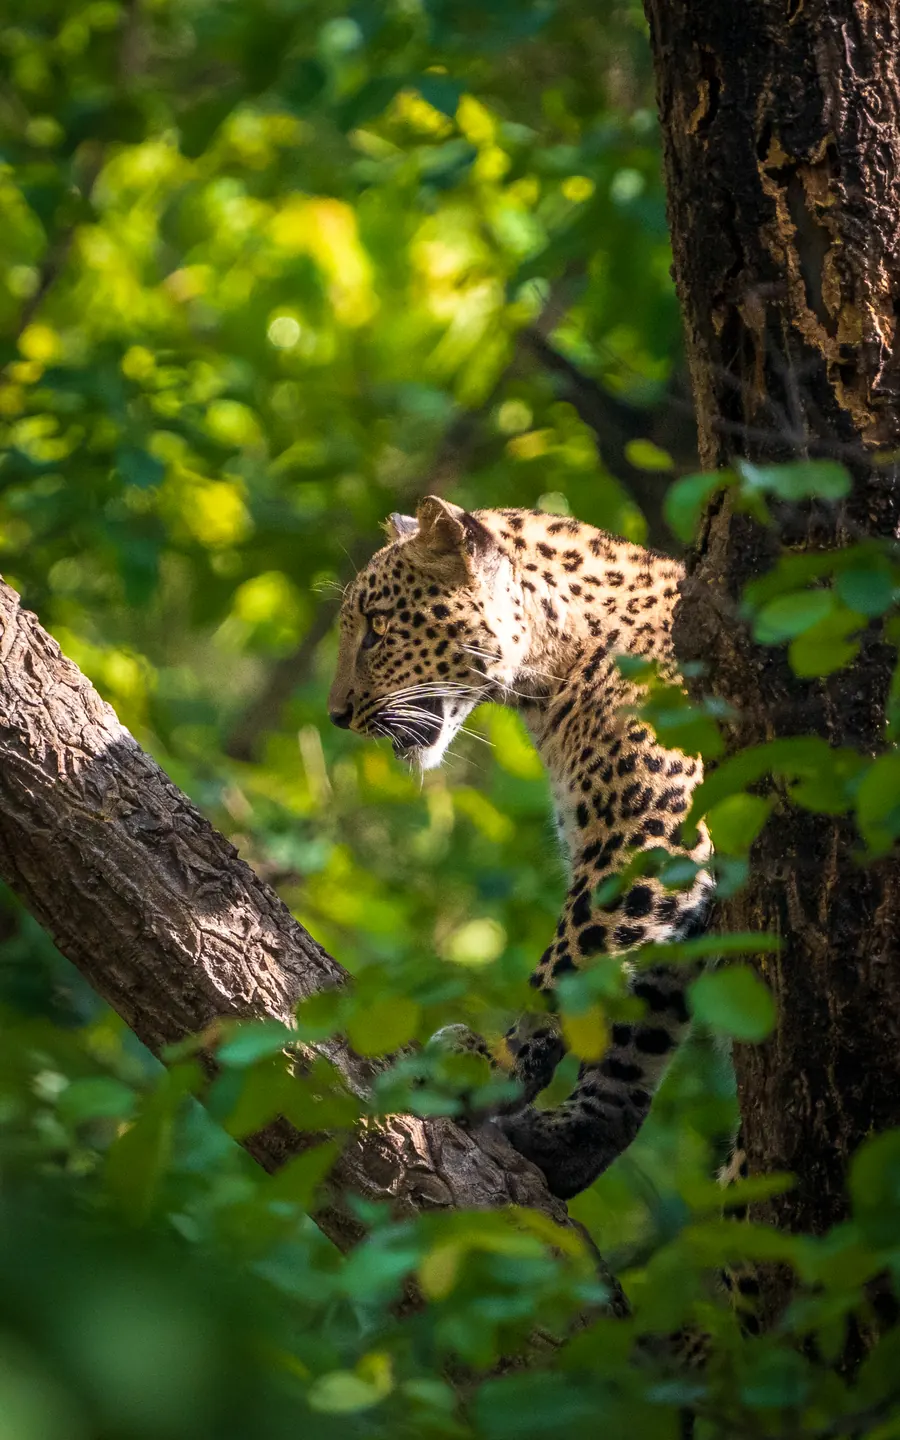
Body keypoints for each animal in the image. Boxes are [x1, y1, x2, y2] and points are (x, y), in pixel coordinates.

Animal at [328, 495, 713, 1200]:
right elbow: (636, 1029)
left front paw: (487, 1070)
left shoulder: (652, 837)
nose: (336, 714)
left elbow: (568, 973)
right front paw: (570, 1138)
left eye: (377, 627)